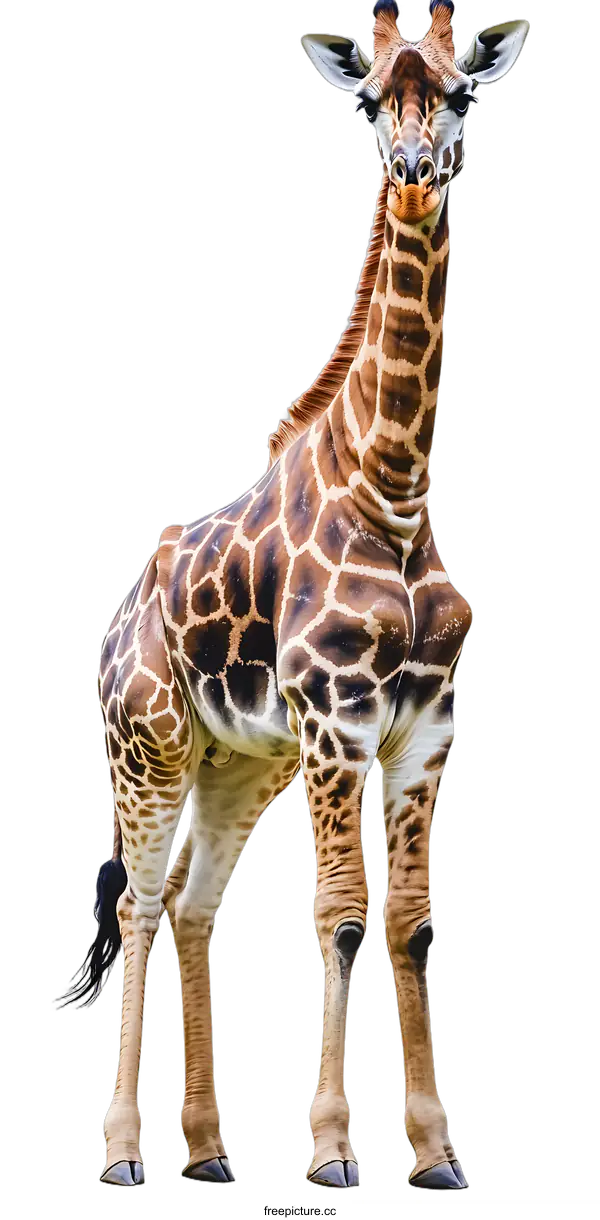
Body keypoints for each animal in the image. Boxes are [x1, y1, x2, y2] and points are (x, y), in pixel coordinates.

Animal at [59, 0, 530, 1194]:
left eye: (461, 93)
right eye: (368, 104)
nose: (413, 172)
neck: (394, 488)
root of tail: (114, 626)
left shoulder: (425, 726)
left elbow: (410, 923)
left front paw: (434, 1154)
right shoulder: (336, 722)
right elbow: (345, 916)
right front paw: (329, 1152)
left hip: (238, 765)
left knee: (193, 906)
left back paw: (207, 1154)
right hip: (148, 747)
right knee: (137, 904)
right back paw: (123, 1157)